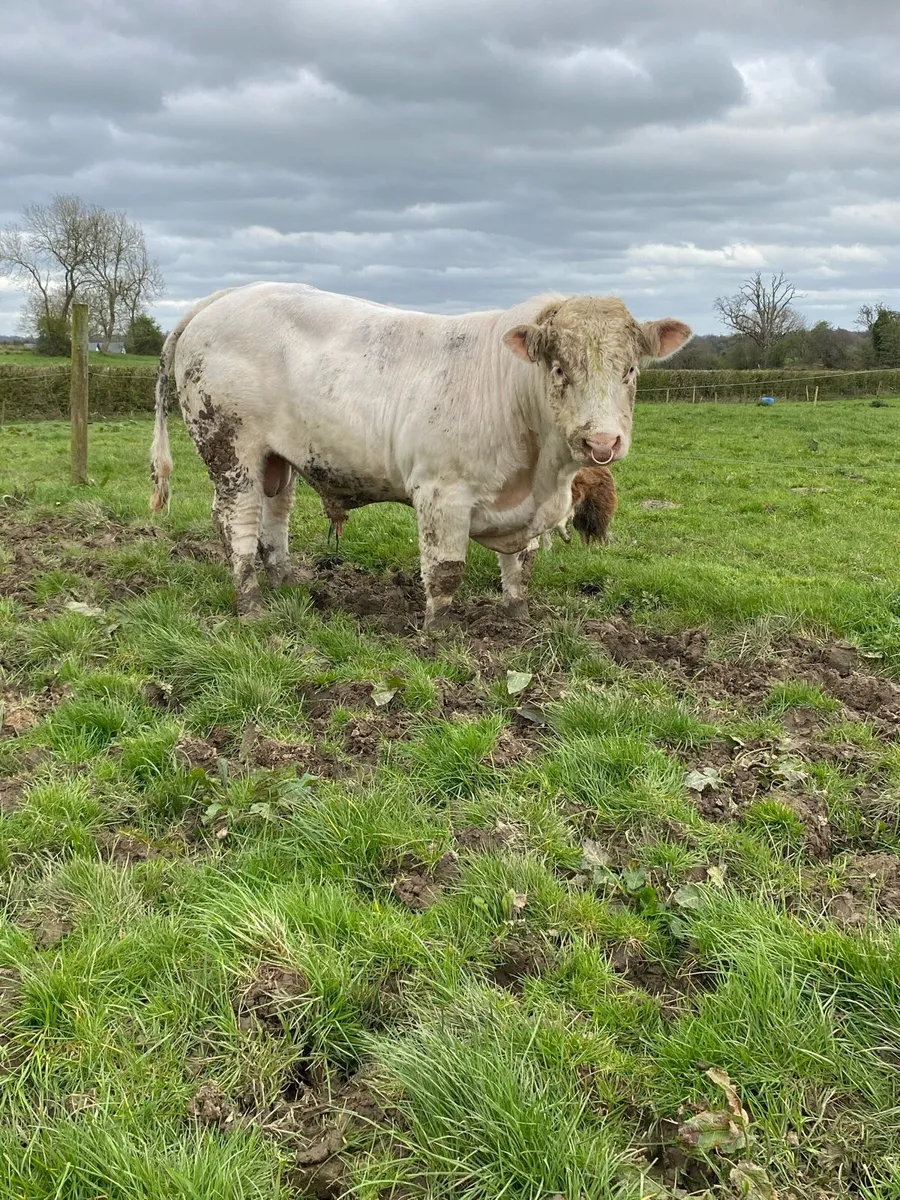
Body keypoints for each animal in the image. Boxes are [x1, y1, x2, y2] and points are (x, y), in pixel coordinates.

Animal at [149, 283, 690, 627]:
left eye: (630, 371)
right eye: (559, 369)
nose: (602, 442)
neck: (540, 473)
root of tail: (225, 297)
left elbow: (522, 567)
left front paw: (518, 621)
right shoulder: (440, 492)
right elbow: (445, 570)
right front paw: (437, 633)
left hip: (279, 458)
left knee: (274, 517)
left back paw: (287, 584)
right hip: (231, 450)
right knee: (235, 524)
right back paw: (251, 604)